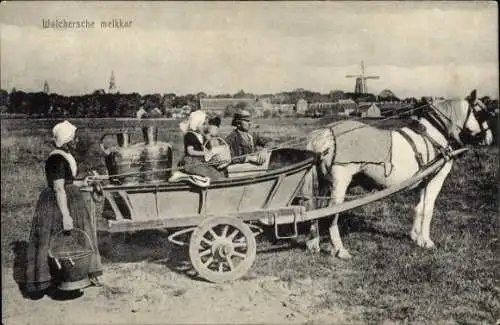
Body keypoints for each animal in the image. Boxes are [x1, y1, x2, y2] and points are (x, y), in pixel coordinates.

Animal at [300, 89, 492, 258]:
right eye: (481, 113)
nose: (489, 139)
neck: (434, 135)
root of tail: (326, 133)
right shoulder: (435, 180)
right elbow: (428, 209)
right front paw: (427, 241)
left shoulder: (423, 180)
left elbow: (419, 208)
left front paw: (416, 237)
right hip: (340, 183)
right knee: (332, 213)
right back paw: (340, 249)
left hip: (325, 183)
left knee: (317, 209)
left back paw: (314, 243)